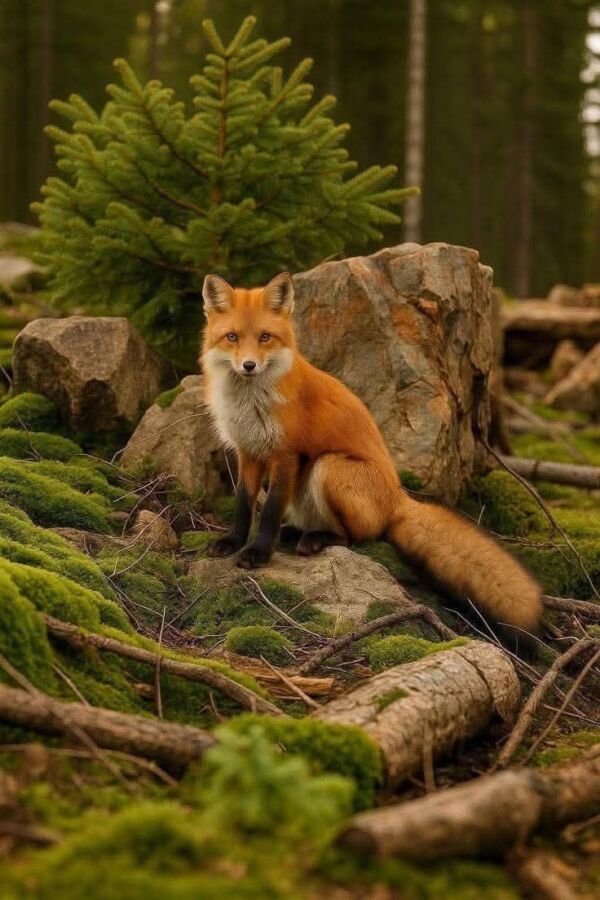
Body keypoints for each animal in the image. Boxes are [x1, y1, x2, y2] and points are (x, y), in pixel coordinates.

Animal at [201, 271, 543, 650]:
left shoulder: (286, 454)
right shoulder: (247, 452)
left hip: (328, 466)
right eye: (232, 337)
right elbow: (243, 505)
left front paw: (259, 553)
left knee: (359, 535)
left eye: (264, 337)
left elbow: (271, 510)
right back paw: (298, 532)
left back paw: (317, 540)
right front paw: (232, 543)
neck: (251, 403)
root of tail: (397, 495)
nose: (248, 365)